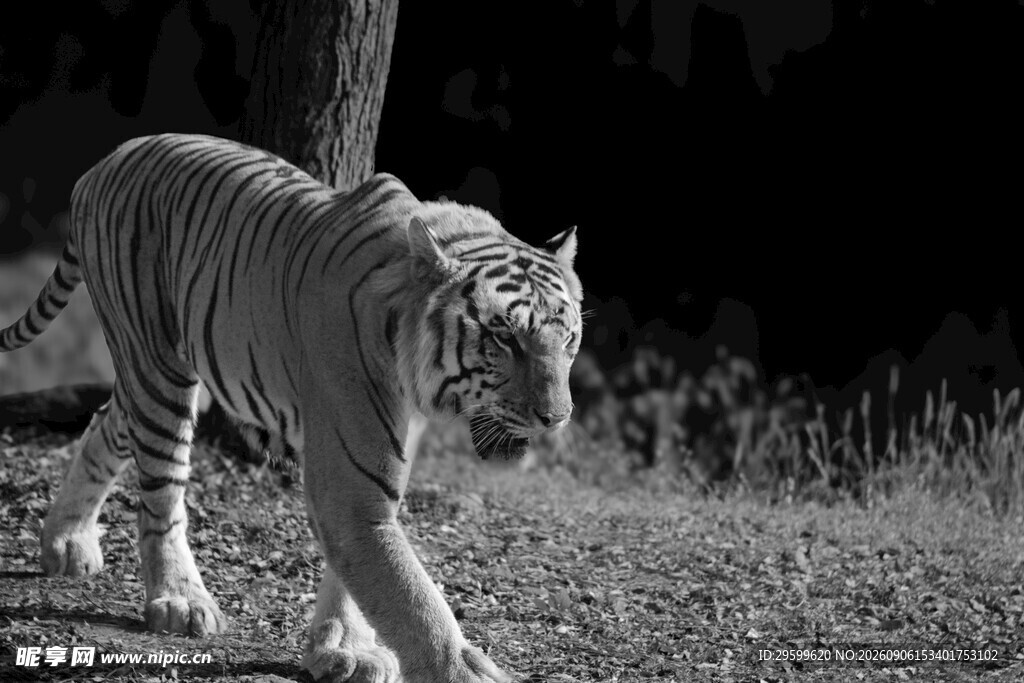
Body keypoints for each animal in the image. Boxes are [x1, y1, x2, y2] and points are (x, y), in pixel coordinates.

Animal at [0, 134, 582, 683]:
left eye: (570, 339)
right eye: (505, 337)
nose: (557, 418)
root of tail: (110, 158)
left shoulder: (370, 473)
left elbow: (357, 571)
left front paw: (343, 650)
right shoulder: (352, 478)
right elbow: (408, 593)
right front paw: (457, 668)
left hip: (149, 370)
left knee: (105, 424)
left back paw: (66, 543)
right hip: (157, 363)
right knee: (162, 492)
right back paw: (180, 600)